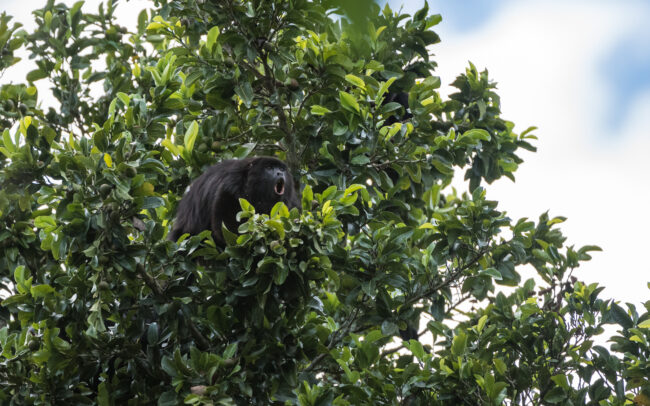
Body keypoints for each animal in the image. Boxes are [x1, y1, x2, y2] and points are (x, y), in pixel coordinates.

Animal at [169, 157, 300, 245]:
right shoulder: (231, 184)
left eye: (281, 169)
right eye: (269, 168)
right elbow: (224, 222)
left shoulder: (291, 200)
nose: (279, 173)